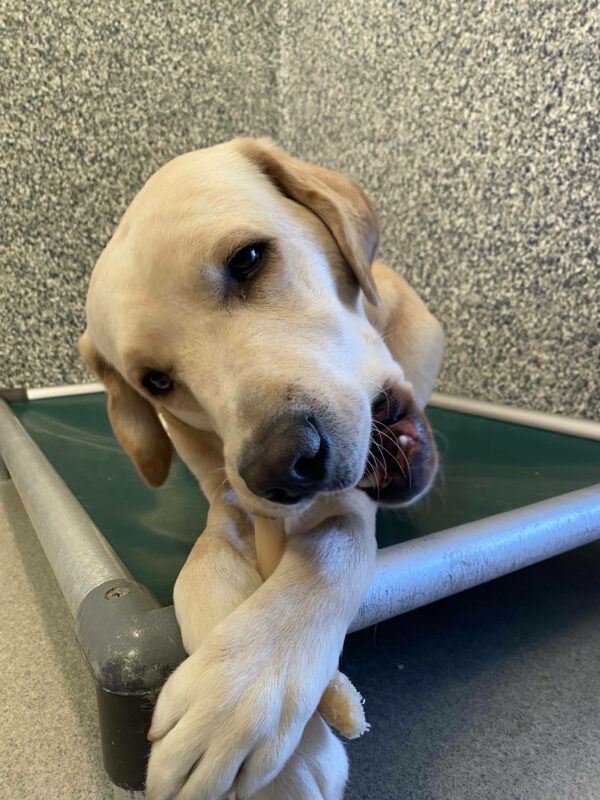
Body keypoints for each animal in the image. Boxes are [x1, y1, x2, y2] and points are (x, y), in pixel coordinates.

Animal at [79, 139, 442, 800]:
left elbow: (332, 539)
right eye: (156, 381)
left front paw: (243, 689)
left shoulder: (337, 501)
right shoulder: (226, 491)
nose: (281, 466)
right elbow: (201, 562)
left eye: (247, 260)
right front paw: (285, 744)